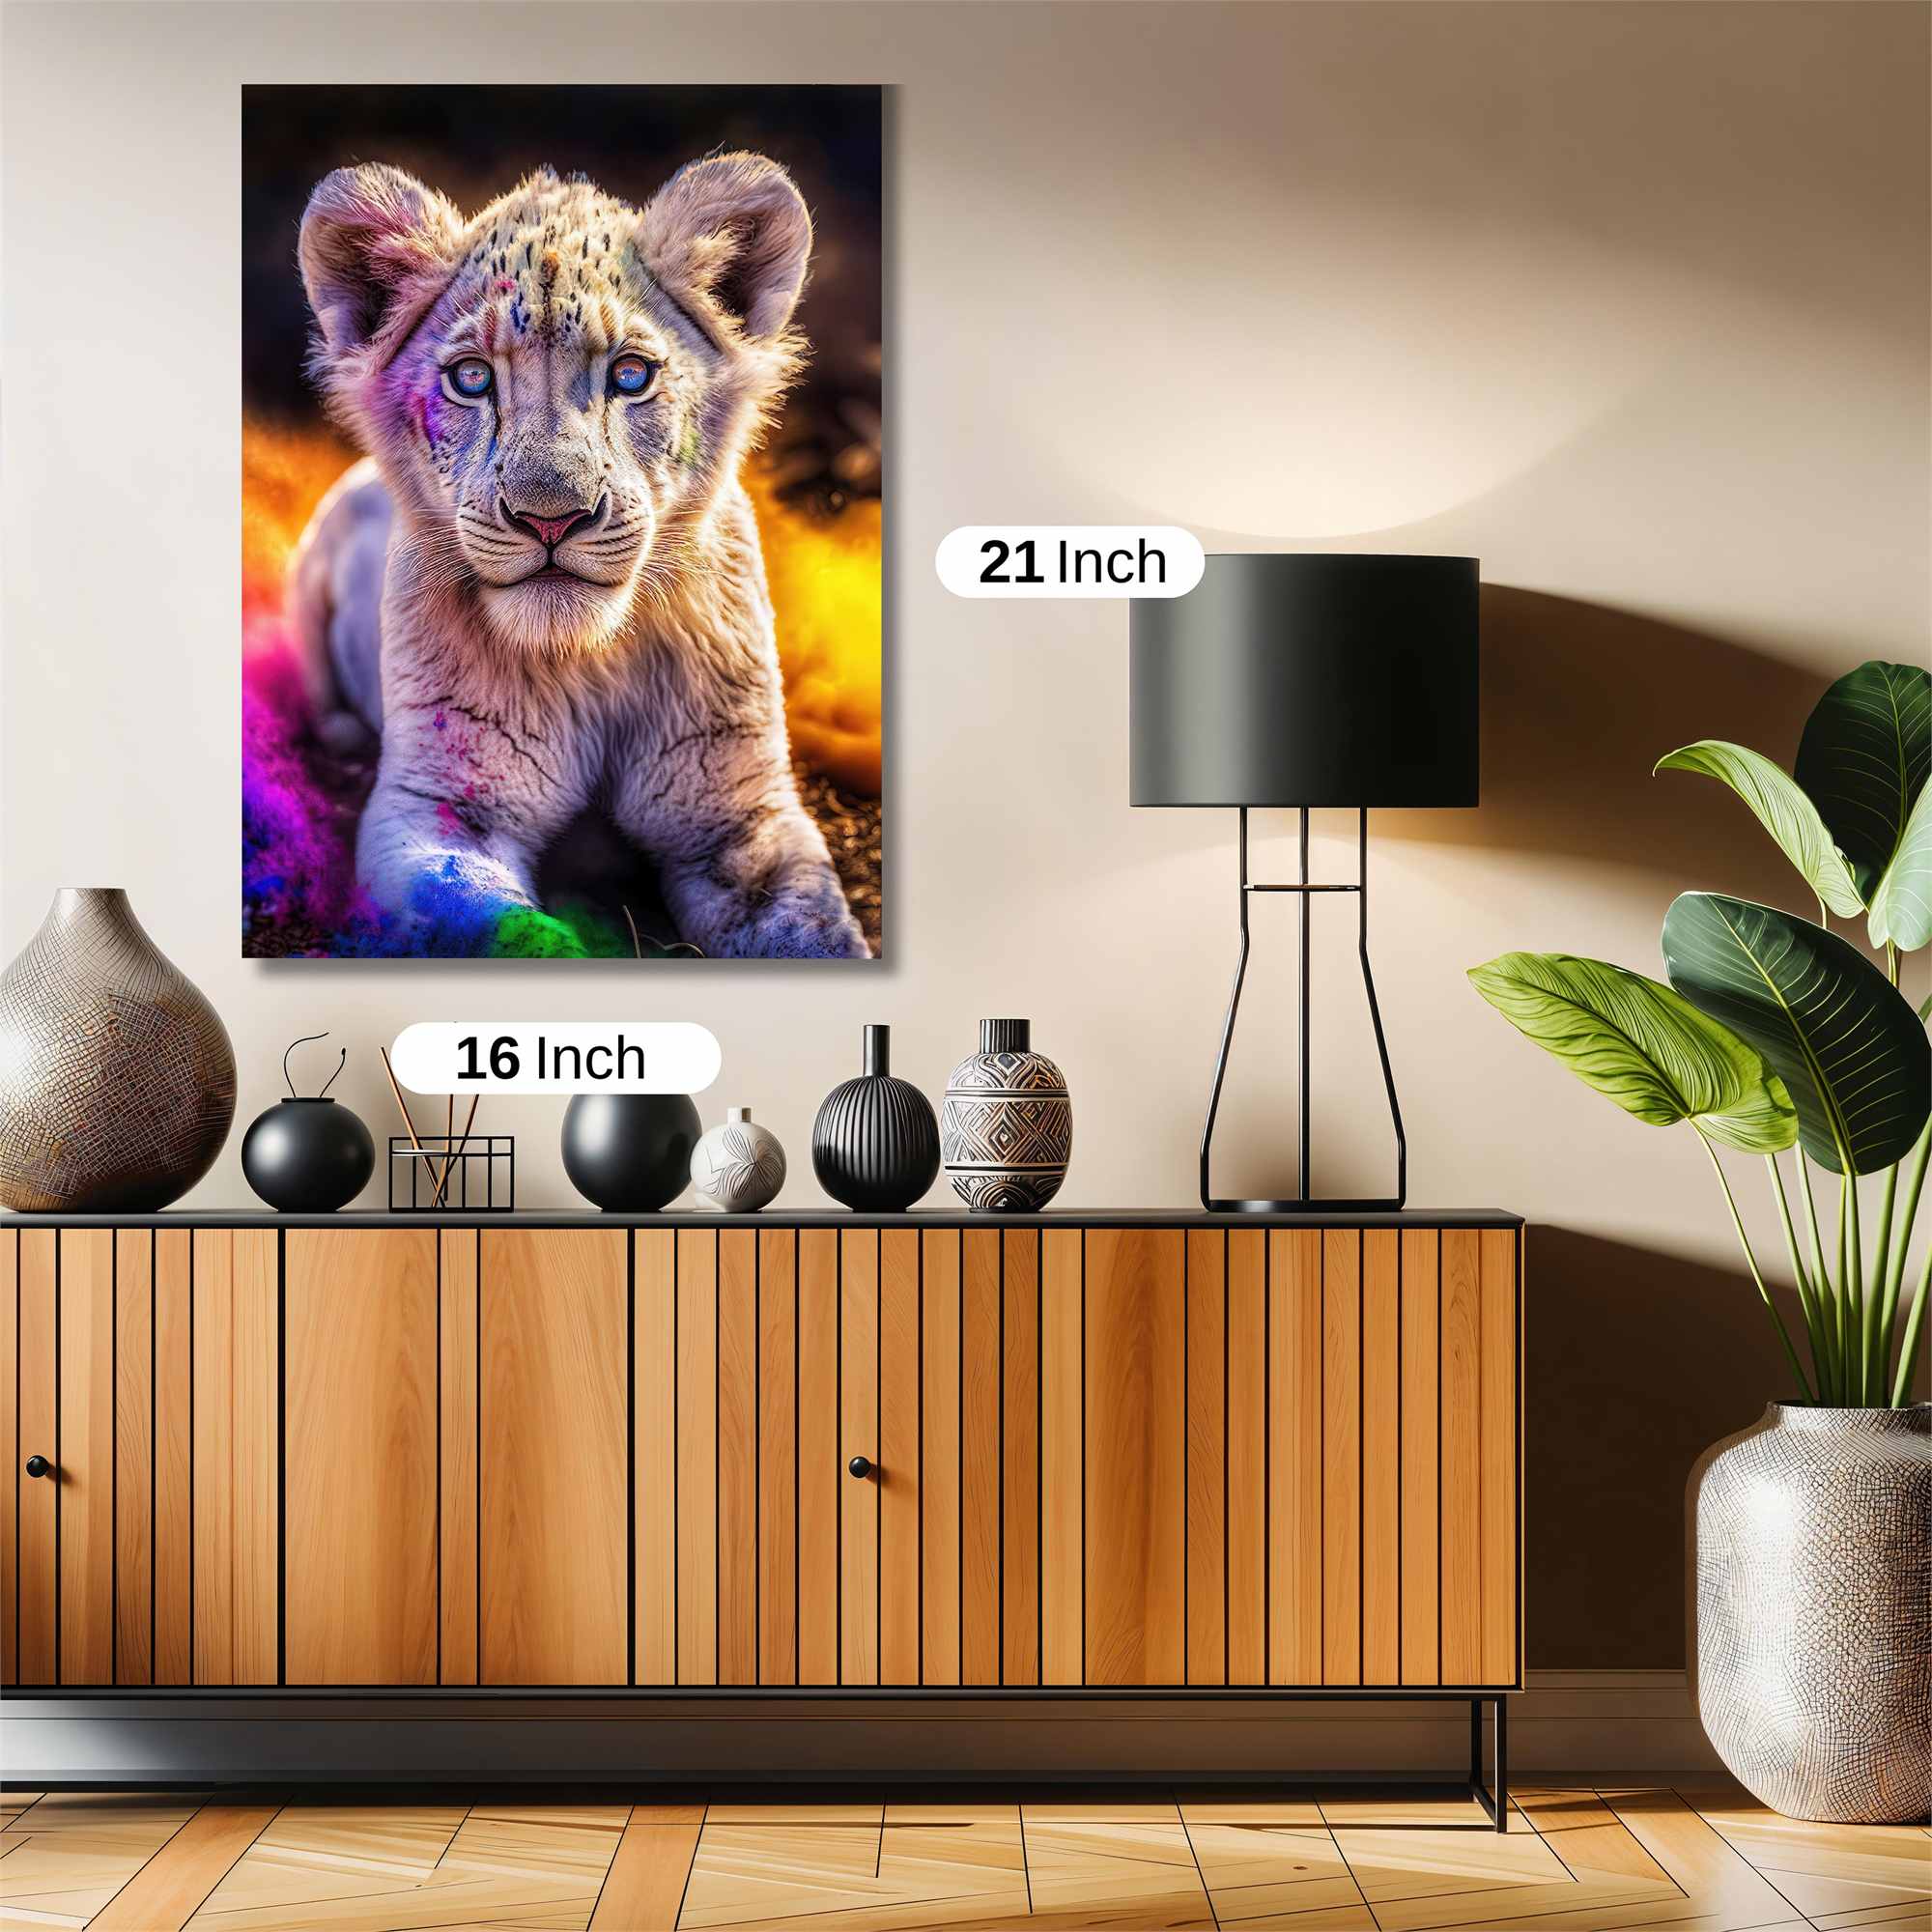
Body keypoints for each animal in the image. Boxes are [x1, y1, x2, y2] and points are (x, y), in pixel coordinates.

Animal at [286, 154, 869, 958]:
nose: (550, 518)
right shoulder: (435, 811)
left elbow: (813, 935)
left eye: (631, 375)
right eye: (471, 378)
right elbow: (512, 934)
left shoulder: (740, 819)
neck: (591, 664)